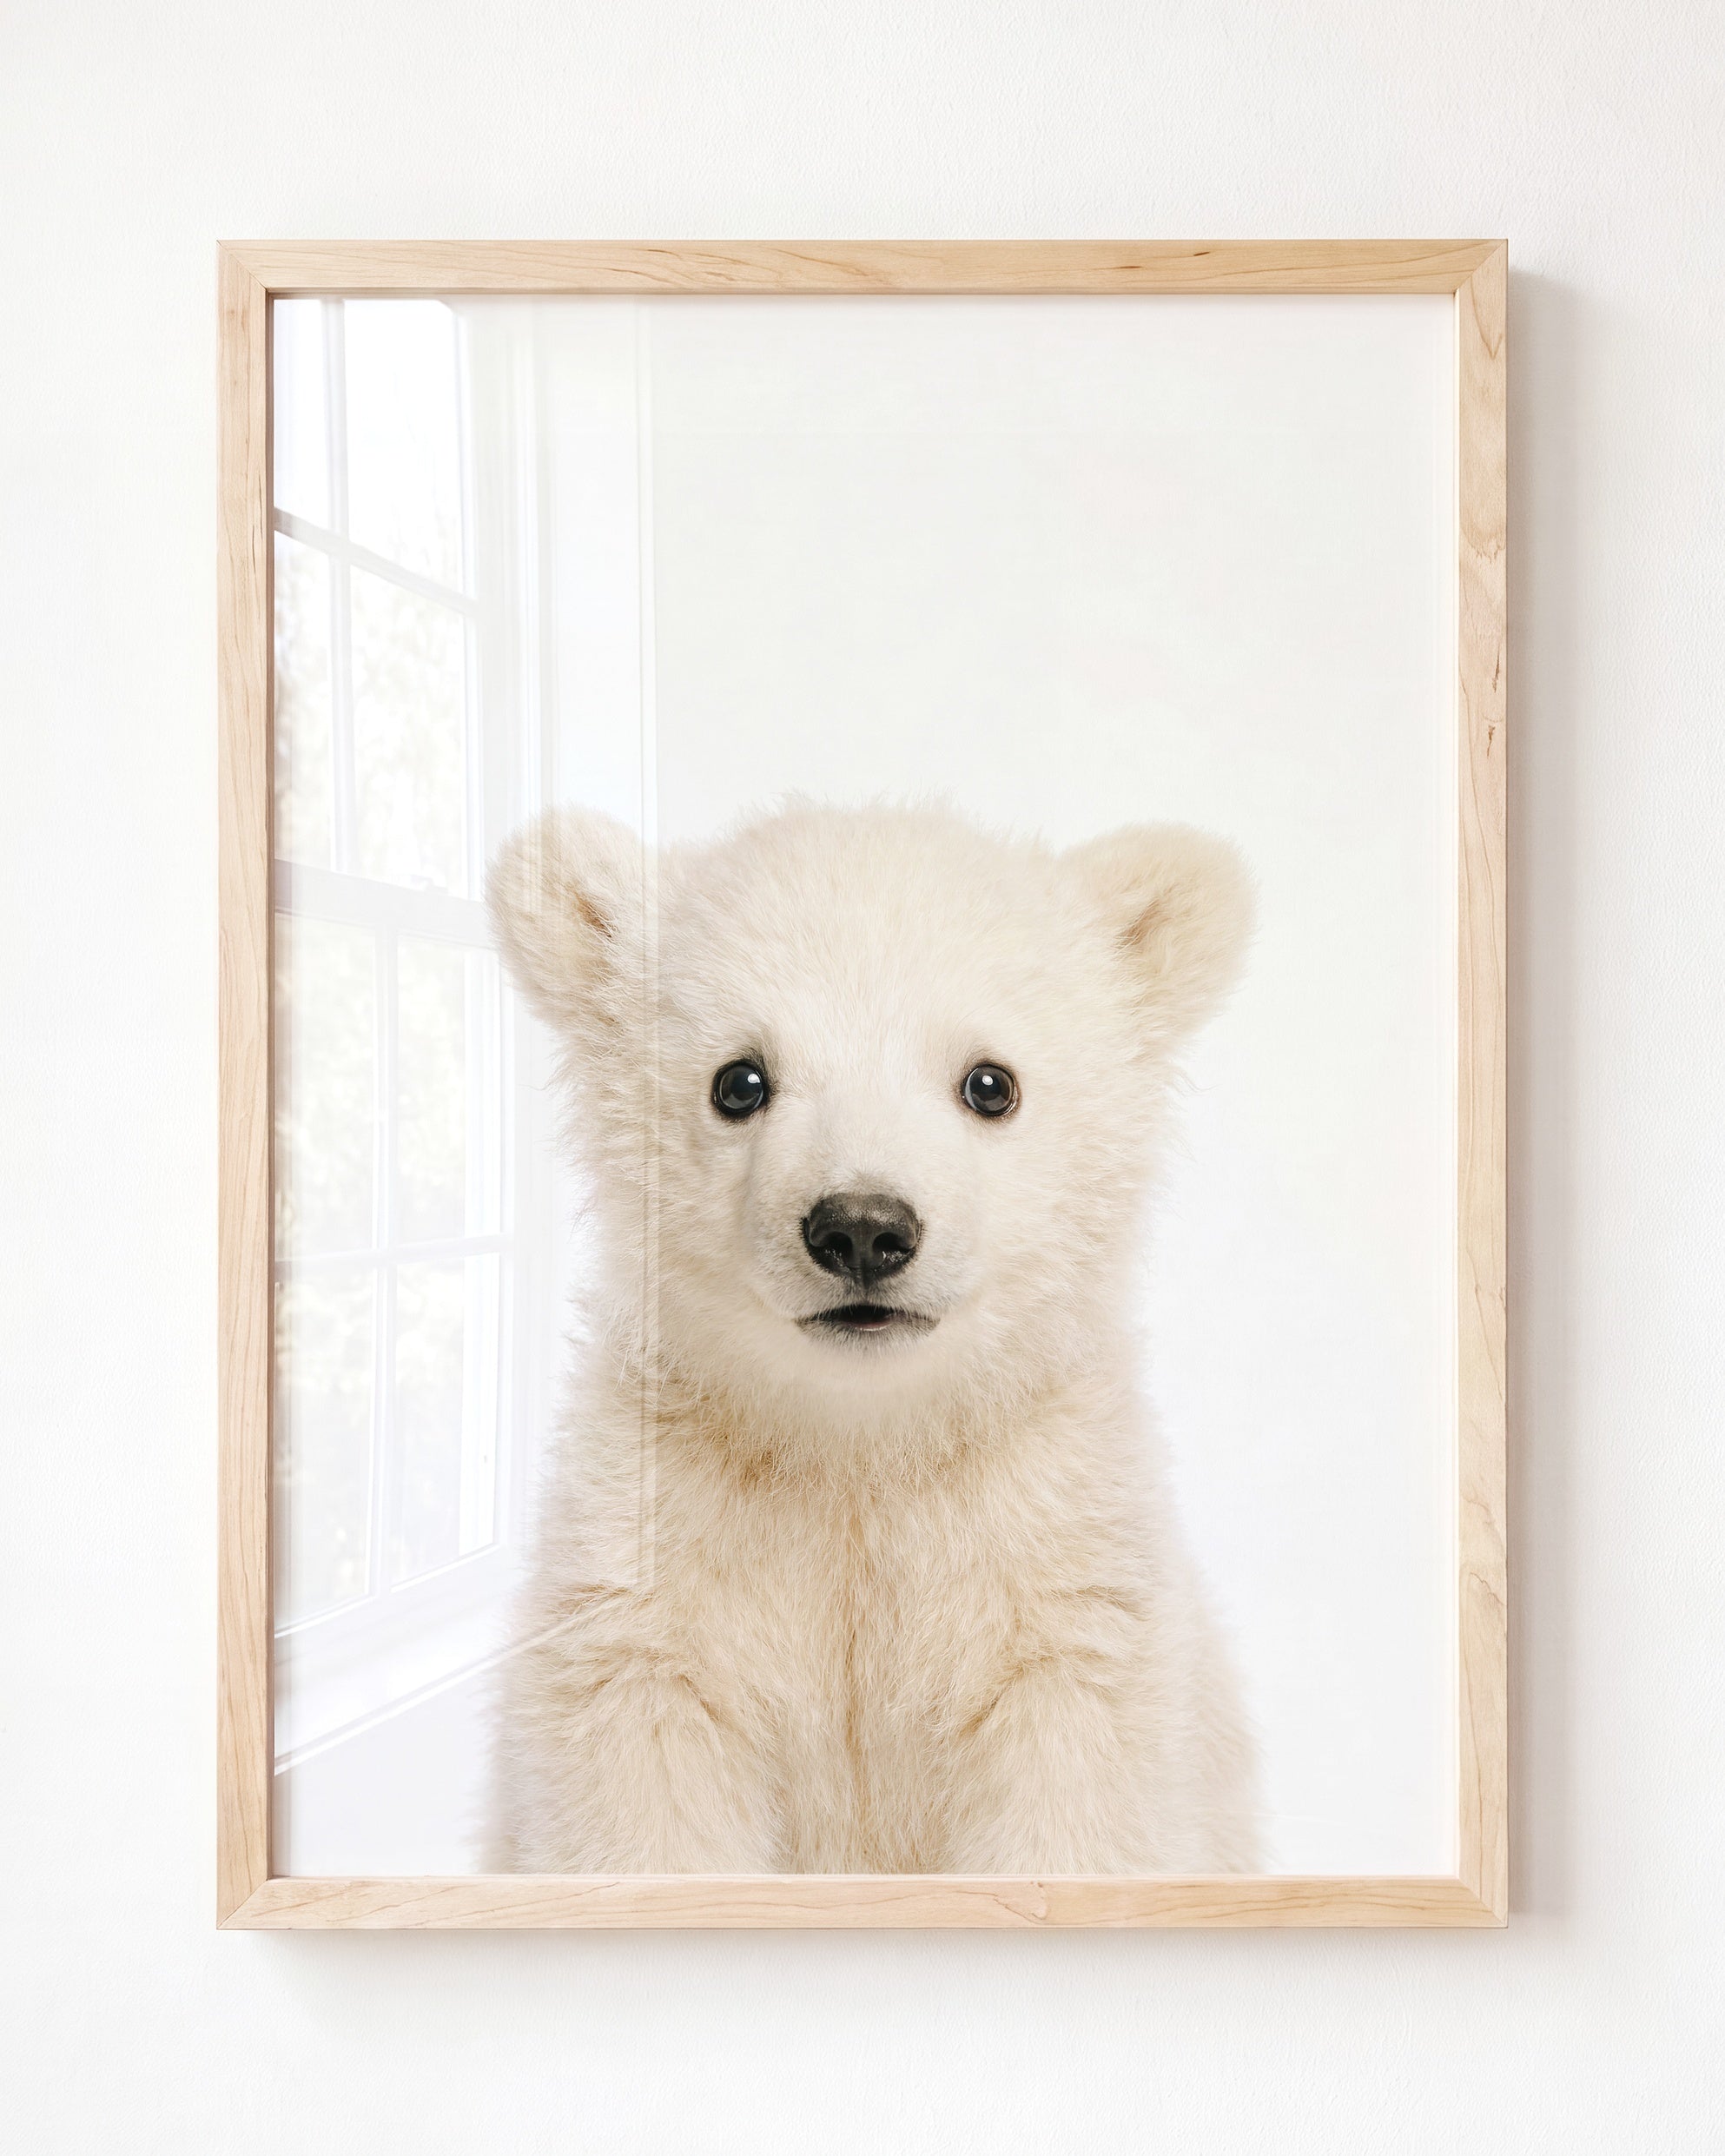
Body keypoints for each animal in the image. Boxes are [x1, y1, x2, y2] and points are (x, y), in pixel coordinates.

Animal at [483, 799, 1260, 1874]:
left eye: (990, 1082)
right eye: (739, 1080)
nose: (861, 1227)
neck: (860, 1446)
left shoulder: (1057, 1575)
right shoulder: (653, 1565)